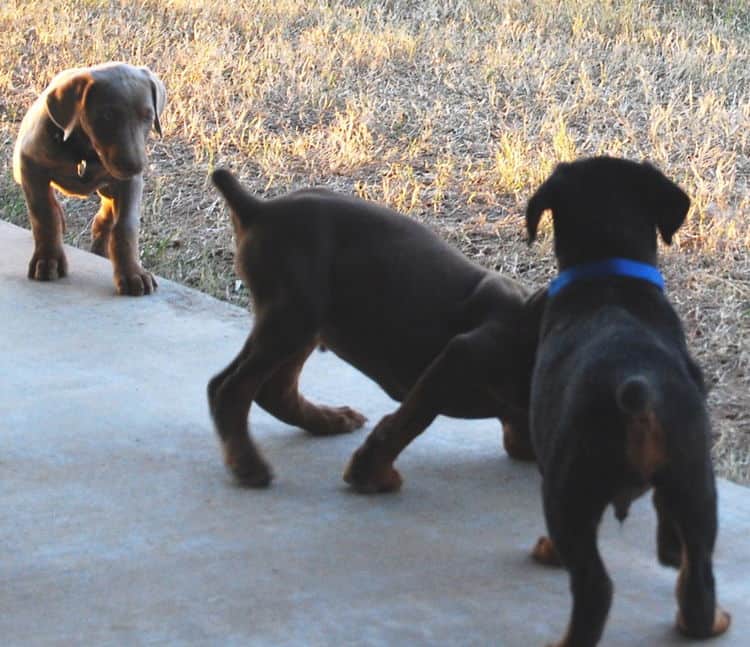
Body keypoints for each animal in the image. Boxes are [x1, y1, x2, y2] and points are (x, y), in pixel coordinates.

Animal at [12, 63, 166, 296]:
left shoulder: (130, 183)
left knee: (107, 213)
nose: (134, 166)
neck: (84, 152)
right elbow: (44, 215)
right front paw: (48, 259)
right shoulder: (30, 164)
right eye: (107, 115)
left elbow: (125, 226)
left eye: (147, 116)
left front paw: (132, 273)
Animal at [209, 170, 544, 488]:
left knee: (271, 390)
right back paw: (247, 463)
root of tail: (259, 209)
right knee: (231, 387)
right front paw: (371, 474)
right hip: (292, 315)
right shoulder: (459, 356)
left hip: (303, 323)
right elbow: (410, 420)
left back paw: (329, 421)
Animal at [524, 158, 732, 647]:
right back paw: (705, 620)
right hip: (695, 480)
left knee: (594, 587)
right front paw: (669, 551)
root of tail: (635, 387)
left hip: (568, 490)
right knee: (698, 581)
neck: (608, 276)